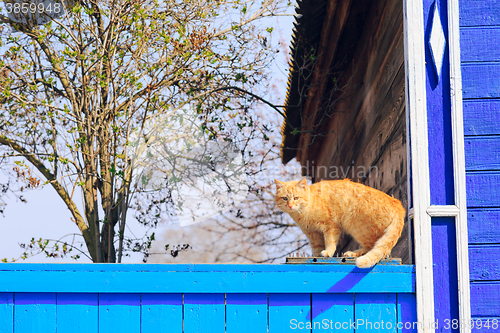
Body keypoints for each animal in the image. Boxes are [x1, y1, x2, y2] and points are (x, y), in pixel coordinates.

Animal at [276, 176, 404, 268]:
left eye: (296, 198)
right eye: (285, 198)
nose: (290, 205)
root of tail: (397, 204)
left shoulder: (331, 226)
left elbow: (330, 242)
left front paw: (328, 252)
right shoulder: (313, 234)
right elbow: (316, 248)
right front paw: (315, 256)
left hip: (357, 227)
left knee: (372, 246)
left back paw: (352, 253)